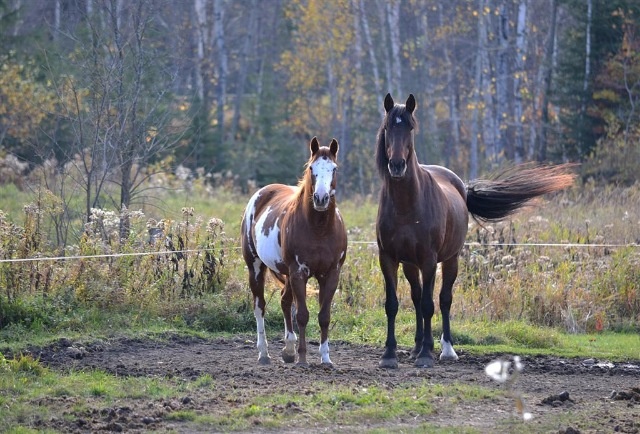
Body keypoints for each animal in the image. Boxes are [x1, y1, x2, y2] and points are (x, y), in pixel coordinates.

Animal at [242, 138, 348, 366]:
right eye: (311, 168)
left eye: (334, 169)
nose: (320, 198)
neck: (319, 229)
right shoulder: (299, 273)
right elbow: (302, 315)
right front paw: (302, 359)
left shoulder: (331, 274)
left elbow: (324, 316)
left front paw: (325, 358)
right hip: (256, 267)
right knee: (259, 306)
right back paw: (264, 354)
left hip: (287, 274)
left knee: (284, 300)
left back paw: (288, 350)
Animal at [376, 93, 576, 368]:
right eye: (387, 127)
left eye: (410, 127)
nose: (397, 165)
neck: (406, 205)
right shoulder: (388, 258)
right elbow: (393, 304)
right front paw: (389, 354)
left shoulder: (429, 259)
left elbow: (429, 304)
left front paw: (426, 355)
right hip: (411, 264)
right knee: (417, 297)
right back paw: (417, 347)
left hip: (450, 259)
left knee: (443, 299)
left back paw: (445, 349)